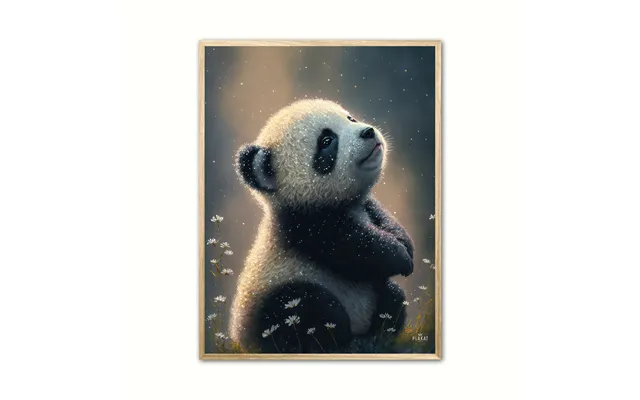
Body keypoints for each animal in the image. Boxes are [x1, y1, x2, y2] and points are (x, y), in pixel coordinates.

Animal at [229, 99, 414, 353]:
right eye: (326, 142)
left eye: (350, 118)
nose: (368, 132)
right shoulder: (306, 226)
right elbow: (355, 248)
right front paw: (400, 258)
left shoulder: (363, 207)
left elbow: (383, 219)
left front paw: (406, 246)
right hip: (270, 303)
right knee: (308, 306)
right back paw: (341, 343)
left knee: (391, 294)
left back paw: (377, 336)